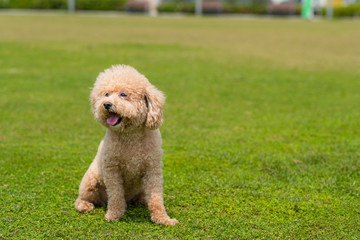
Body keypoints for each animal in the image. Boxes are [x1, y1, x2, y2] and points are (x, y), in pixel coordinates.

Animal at [74, 65, 179, 225]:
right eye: (106, 94)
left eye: (123, 94)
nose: (106, 104)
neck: (130, 134)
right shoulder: (112, 170)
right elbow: (116, 195)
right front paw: (114, 215)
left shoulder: (152, 170)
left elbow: (156, 198)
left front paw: (163, 219)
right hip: (90, 182)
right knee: (82, 198)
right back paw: (84, 205)